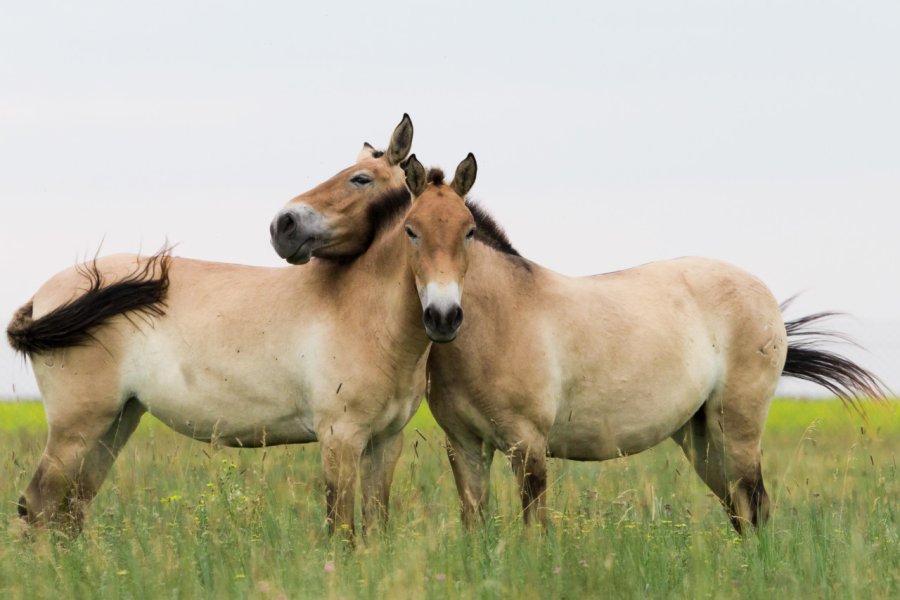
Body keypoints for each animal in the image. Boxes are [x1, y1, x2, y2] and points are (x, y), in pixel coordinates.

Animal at [264, 151, 884, 536]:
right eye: (412, 230)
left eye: (360, 179)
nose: (283, 227)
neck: (496, 318)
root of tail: (761, 295)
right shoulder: (466, 446)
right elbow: (475, 525)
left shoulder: (528, 444)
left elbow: (534, 527)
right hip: (702, 437)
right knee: (739, 509)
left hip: (738, 429)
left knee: (755, 505)